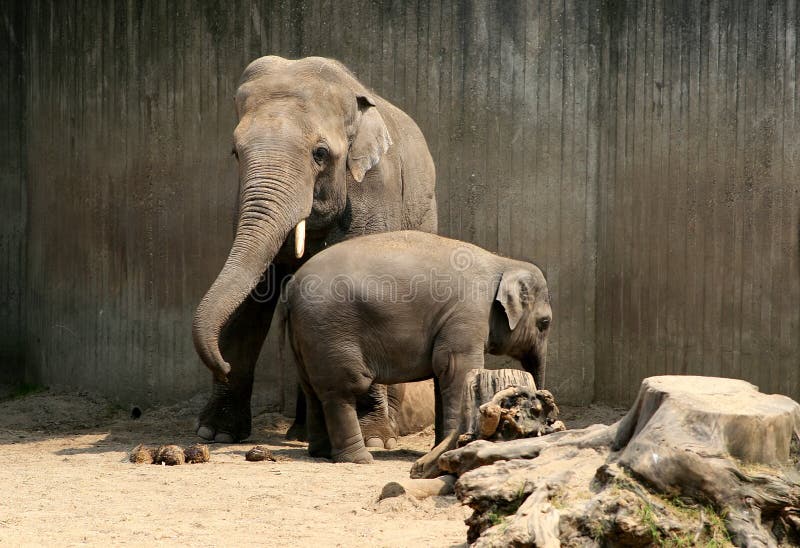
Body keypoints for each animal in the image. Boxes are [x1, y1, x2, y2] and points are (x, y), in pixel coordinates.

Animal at [193, 56, 438, 446]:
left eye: (319, 154)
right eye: (235, 153)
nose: (223, 364)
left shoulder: (375, 190)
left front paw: (373, 439)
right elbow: (249, 300)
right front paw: (215, 433)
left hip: (426, 211)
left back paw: (390, 430)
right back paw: (301, 431)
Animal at [284, 229, 552, 464]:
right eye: (545, 323)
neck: (503, 261)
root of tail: (291, 288)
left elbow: (442, 375)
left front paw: (439, 448)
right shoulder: (467, 316)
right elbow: (458, 370)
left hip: (307, 338)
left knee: (313, 390)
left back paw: (322, 453)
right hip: (332, 332)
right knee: (342, 390)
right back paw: (360, 459)